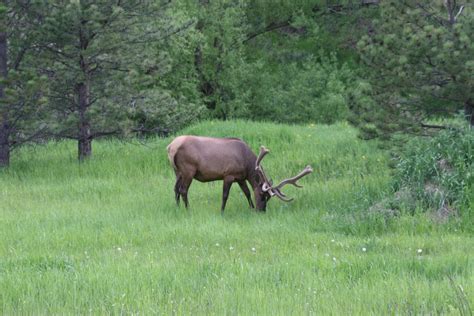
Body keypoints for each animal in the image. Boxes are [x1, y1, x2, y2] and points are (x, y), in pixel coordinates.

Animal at [165, 136, 312, 212]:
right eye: (262, 195)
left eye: (268, 198)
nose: (261, 211)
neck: (247, 164)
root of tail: (171, 147)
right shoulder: (229, 175)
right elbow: (225, 195)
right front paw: (222, 211)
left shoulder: (240, 177)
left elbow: (247, 192)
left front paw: (251, 208)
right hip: (188, 170)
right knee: (183, 190)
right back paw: (188, 209)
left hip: (177, 171)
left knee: (175, 189)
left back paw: (177, 207)